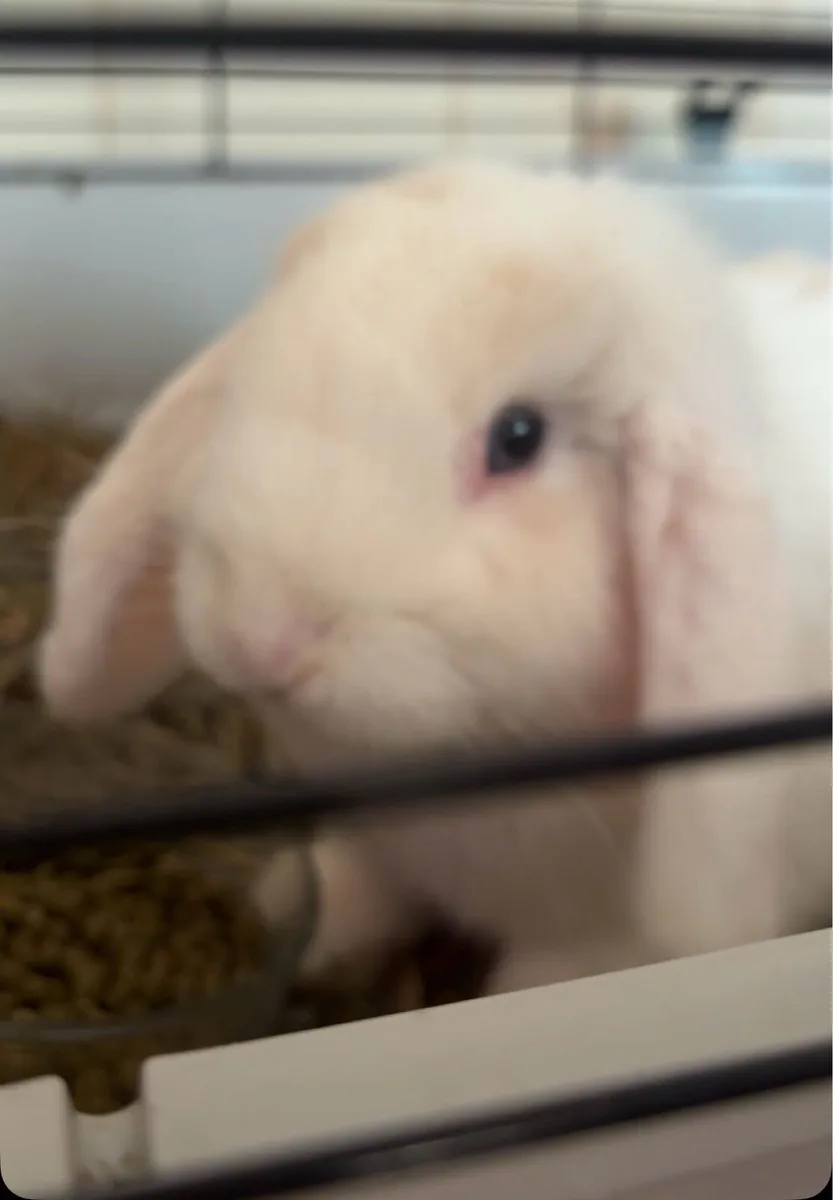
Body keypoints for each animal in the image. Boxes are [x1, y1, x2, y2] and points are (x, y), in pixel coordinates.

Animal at [37, 161, 831, 996]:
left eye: (518, 438)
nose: (262, 641)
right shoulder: (373, 843)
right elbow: (354, 885)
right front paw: (296, 916)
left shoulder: (589, 938)